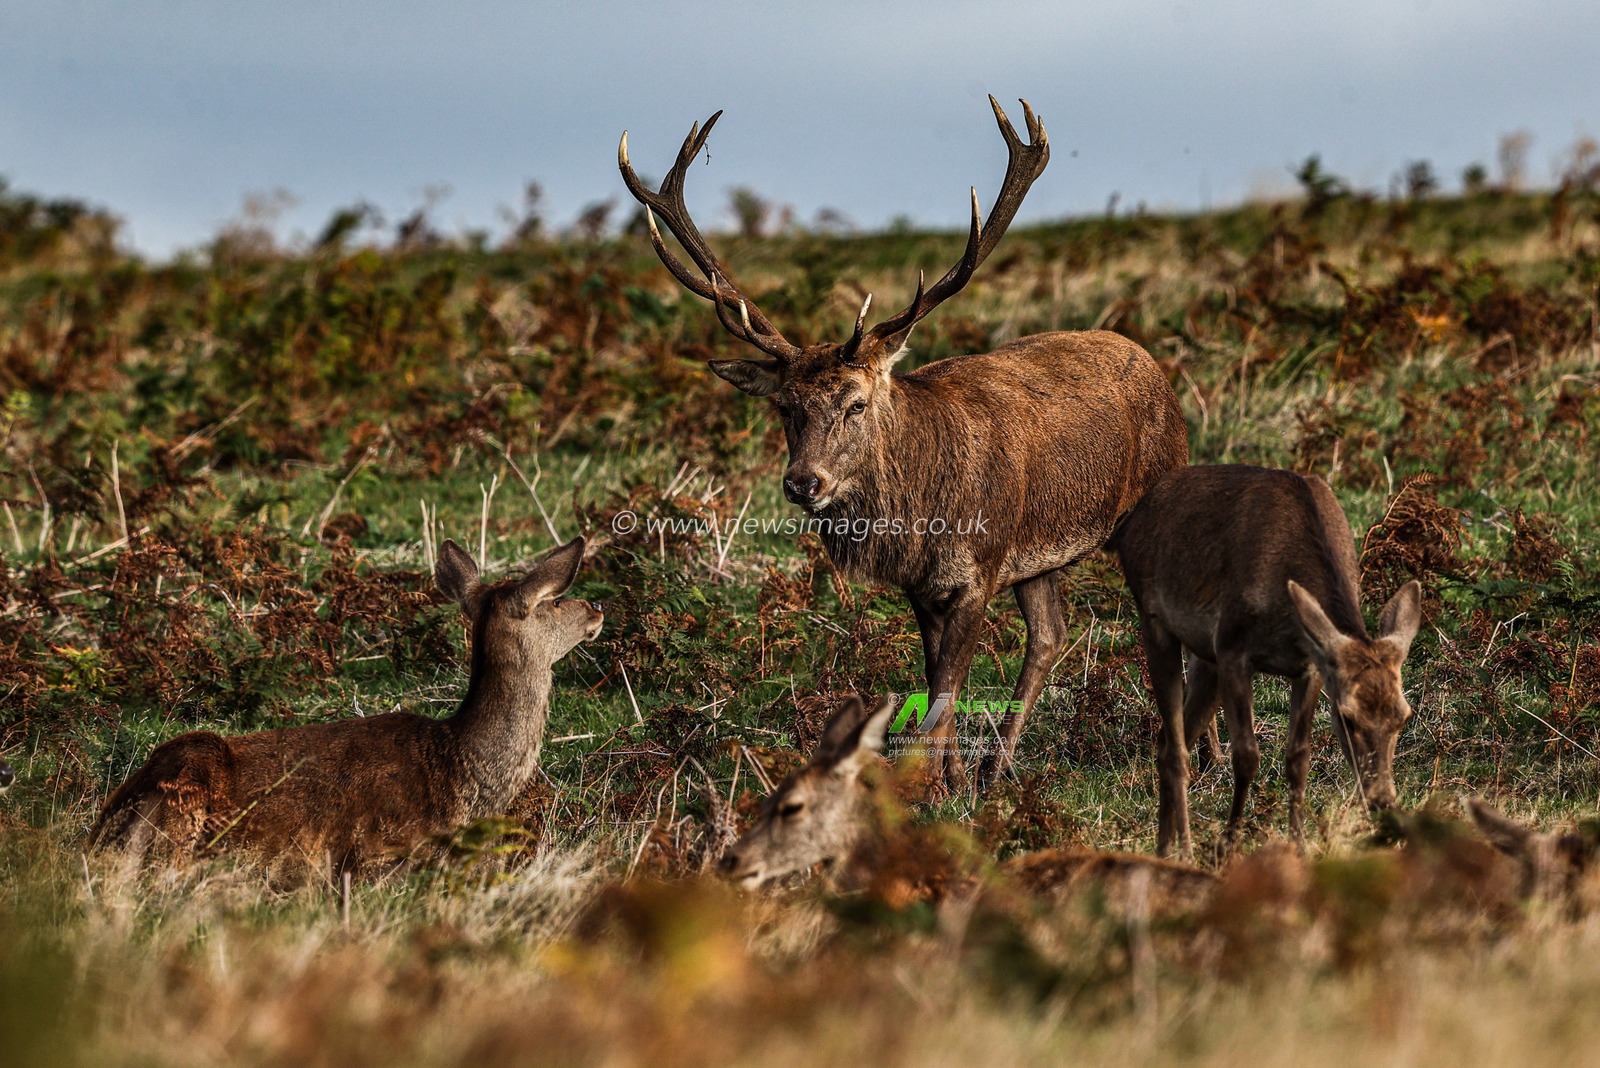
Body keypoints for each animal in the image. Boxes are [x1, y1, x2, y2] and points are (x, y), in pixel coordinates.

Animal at [88, 537, 602, 886]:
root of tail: (101, 831)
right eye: (554, 600)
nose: (596, 606)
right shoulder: (381, 855)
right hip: (187, 796)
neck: (462, 777)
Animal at [619, 98, 1189, 793]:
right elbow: (936, 678)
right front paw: (950, 781)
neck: (924, 519)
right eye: (784, 407)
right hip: (1040, 556)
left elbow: (944, 684)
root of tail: (1156, 367)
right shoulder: (923, 585)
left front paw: (921, 788)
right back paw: (997, 767)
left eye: (856, 403)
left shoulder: (980, 567)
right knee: (1050, 635)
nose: (803, 482)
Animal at [1111, 464, 1424, 861]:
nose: (1383, 800)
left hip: (1205, 657)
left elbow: (1298, 758)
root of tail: (1127, 526)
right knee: (1176, 748)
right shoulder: (1233, 650)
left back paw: (1165, 849)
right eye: (1347, 717)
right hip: (1155, 622)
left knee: (1168, 740)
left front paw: (1300, 848)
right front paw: (1226, 848)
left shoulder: (1310, 667)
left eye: (1404, 716)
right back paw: (1185, 851)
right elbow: (1246, 755)